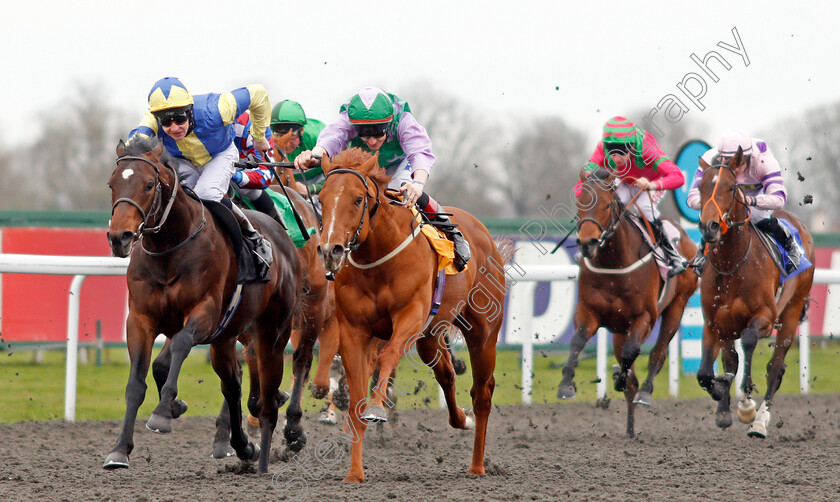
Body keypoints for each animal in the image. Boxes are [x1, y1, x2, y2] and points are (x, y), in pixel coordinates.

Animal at [105, 135, 300, 472]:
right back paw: (242, 446)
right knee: (232, 384)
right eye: (112, 184)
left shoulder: (205, 313)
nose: (120, 237)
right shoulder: (141, 319)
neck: (170, 249)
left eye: (148, 185)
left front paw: (163, 413)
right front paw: (120, 449)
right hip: (225, 338)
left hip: (273, 332)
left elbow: (182, 344)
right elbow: (139, 381)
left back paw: (262, 453)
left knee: (262, 392)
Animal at [316, 147, 502, 480]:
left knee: (482, 394)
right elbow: (355, 398)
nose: (330, 250)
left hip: (483, 333)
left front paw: (376, 408)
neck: (378, 258)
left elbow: (388, 355)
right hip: (430, 337)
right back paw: (461, 419)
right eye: (322, 199)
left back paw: (477, 466)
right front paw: (354, 473)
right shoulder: (353, 330)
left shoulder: (410, 317)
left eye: (358, 199)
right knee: (446, 373)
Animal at [556, 167, 704, 438]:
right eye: (580, 203)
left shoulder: (644, 317)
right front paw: (566, 385)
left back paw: (644, 392)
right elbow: (577, 342)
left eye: (606, 205)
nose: (587, 243)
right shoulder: (588, 311)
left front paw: (619, 377)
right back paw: (630, 429)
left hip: (677, 306)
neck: (614, 264)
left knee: (657, 353)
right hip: (619, 329)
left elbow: (632, 352)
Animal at [692, 150, 812, 440]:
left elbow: (747, 343)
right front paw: (722, 399)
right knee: (732, 361)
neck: (731, 264)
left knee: (775, 367)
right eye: (701, 187)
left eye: (731, 187)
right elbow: (707, 372)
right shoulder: (714, 323)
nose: (709, 227)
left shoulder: (765, 317)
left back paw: (759, 422)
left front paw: (746, 403)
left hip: (792, 311)